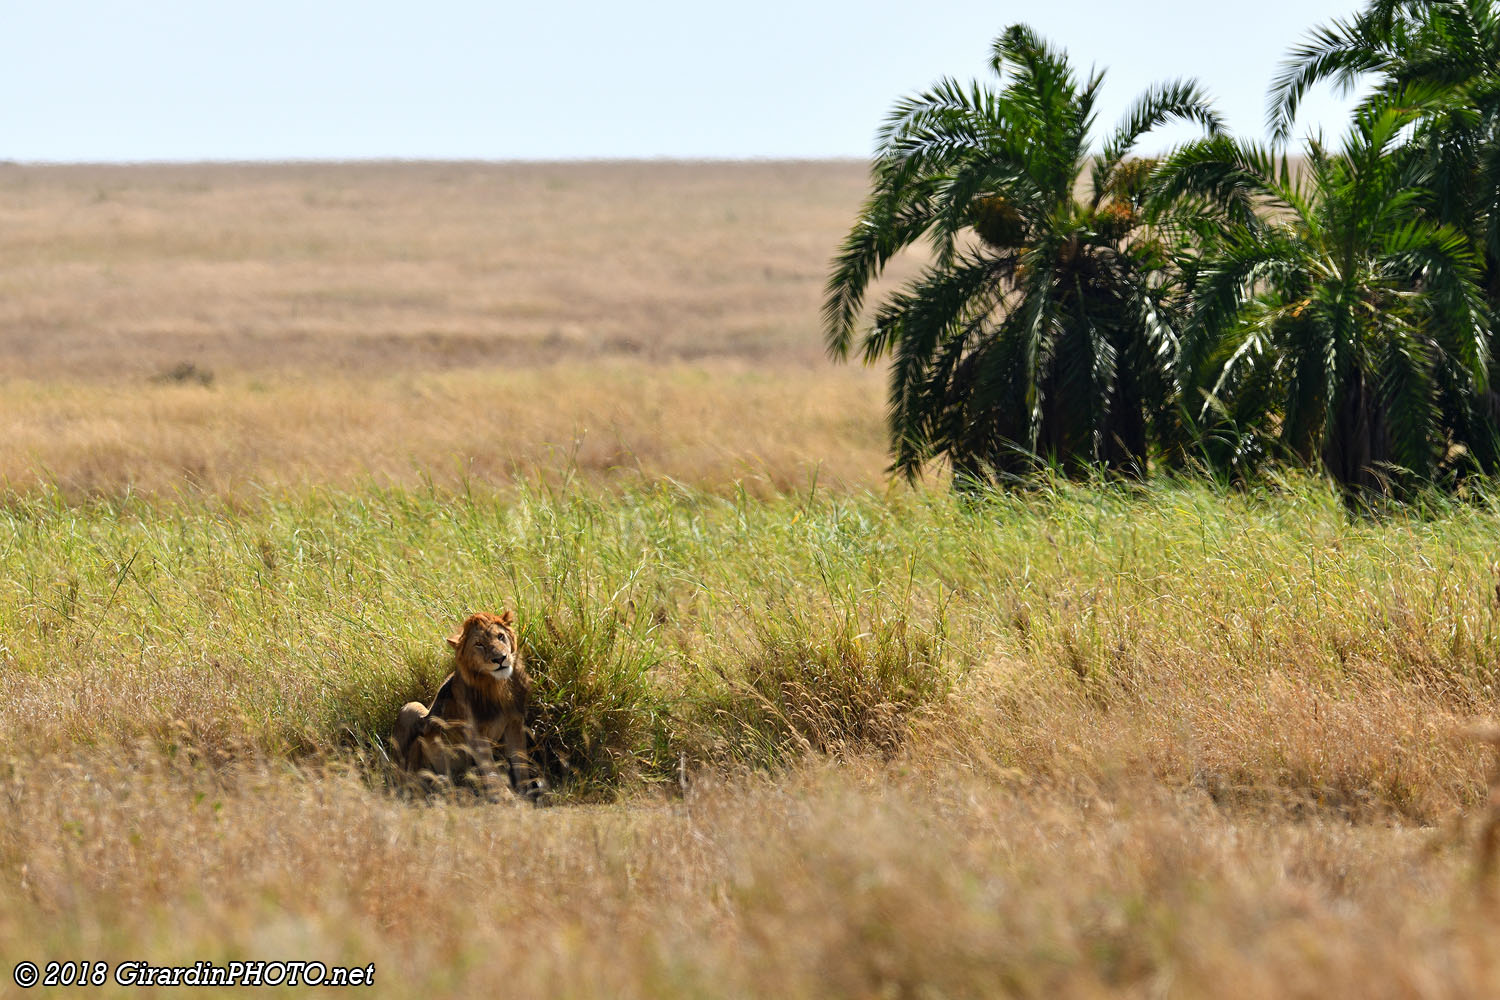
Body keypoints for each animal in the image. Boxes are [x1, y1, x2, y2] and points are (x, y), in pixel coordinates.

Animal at [393, 611, 543, 801]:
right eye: (479, 644)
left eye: (500, 636)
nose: (500, 659)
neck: (496, 686)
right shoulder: (474, 732)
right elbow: (489, 767)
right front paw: (505, 796)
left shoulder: (515, 723)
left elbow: (519, 760)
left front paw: (526, 791)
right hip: (412, 708)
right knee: (405, 776)